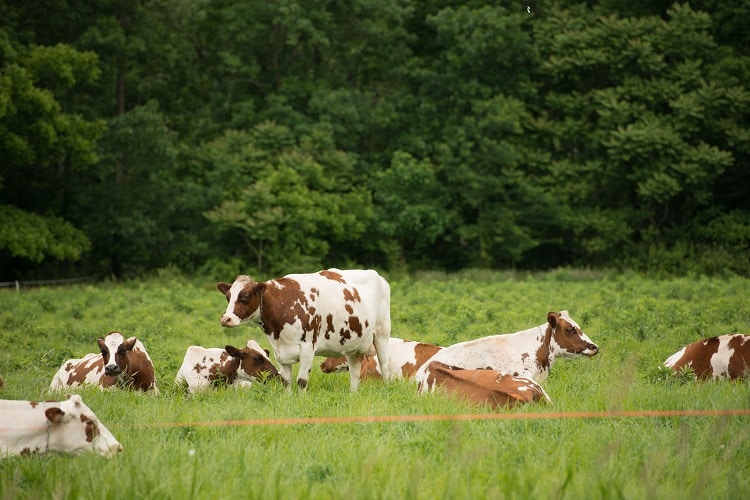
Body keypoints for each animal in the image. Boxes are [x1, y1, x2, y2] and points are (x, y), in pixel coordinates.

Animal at [217, 270, 394, 390]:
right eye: (228, 297)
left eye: (245, 297)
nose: (226, 319)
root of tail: (377, 275)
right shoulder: (280, 352)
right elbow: (286, 381)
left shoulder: (308, 348)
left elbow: (302, 380)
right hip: (353, 344)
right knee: (355, 371)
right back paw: (353, 393)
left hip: (382, 333)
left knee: (384, 365)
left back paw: (386, 388)